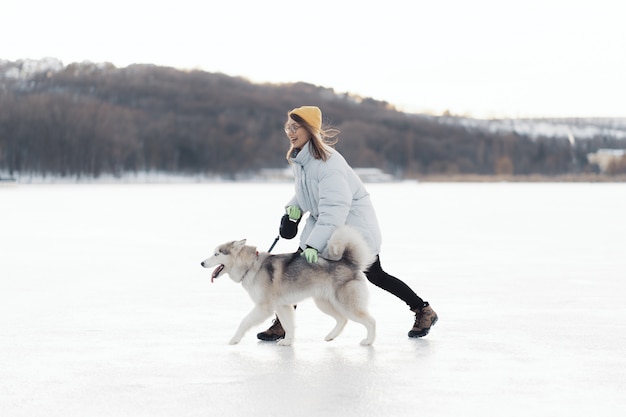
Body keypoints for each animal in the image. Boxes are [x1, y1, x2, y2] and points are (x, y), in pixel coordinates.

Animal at [200, 226, 376, 346]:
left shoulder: (264, 307)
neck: (251, 266)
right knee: (342, 319)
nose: (201, 263)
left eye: (216, 254)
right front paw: (287, 342)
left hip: (346, 304)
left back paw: (369, 341)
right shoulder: (283, 306)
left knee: (371, 320)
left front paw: (234, 339)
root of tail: (349, 262)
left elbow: (244, 321)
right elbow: (288, 325)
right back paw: (331, 336)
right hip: (324, 303)